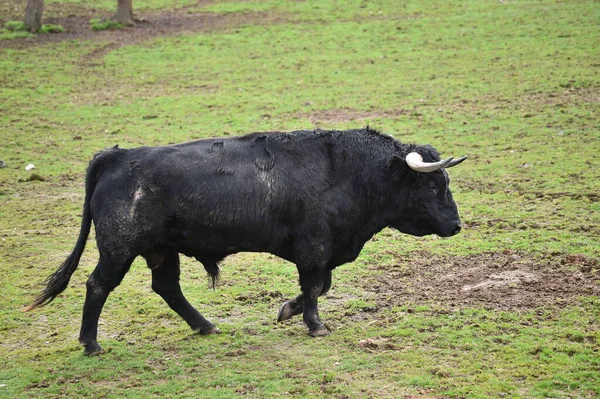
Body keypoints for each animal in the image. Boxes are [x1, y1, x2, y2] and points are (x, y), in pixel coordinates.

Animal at [24, 129, 464, 356]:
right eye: (432, 184)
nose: (457, 225)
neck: (347, 170)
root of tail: (114, 157)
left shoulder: (323, 252)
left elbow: (320, 286)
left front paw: (288, 311)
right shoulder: (314, 248)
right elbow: (315, 286)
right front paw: (314, 324)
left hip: (162, 250)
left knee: (167, 288)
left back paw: (205, 325)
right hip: (119, 249)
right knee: (98, 285)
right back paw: (91, 343)